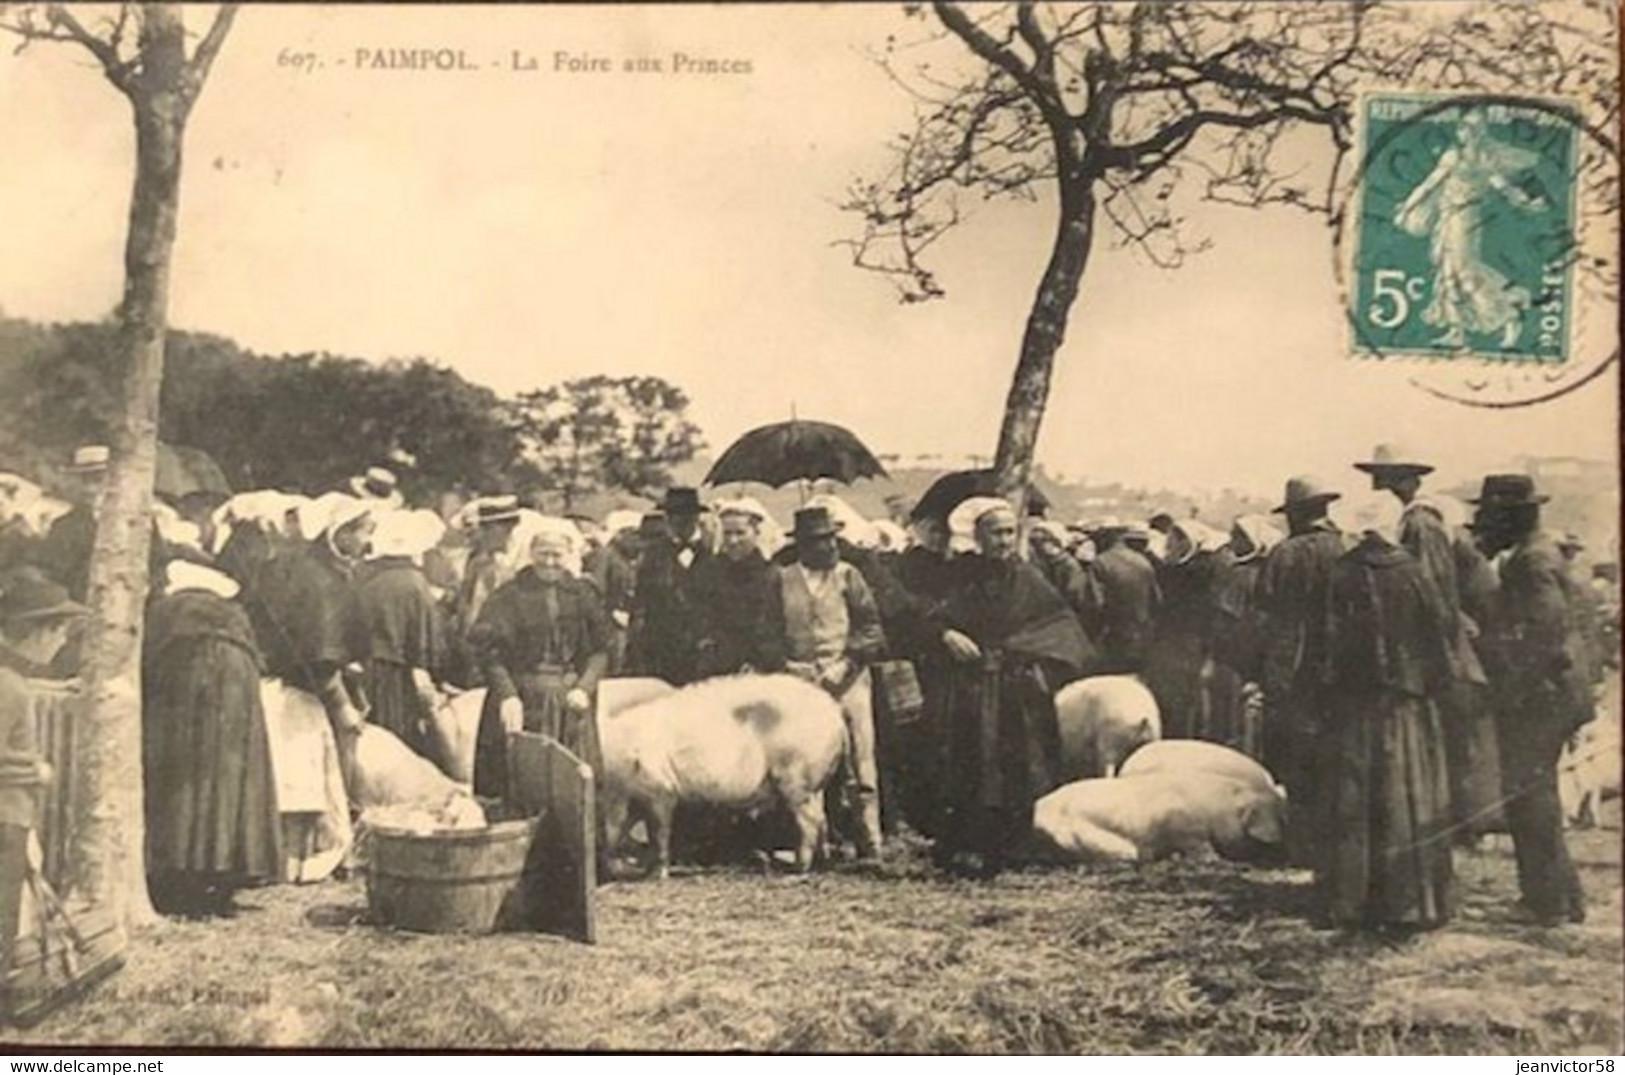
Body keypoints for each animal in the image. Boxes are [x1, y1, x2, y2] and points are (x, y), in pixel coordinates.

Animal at [601, 678, 851, 883]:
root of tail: (835, 714)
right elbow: (622, 831)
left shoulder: (661, 789)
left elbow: (657, 833)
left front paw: (654, 876)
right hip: (815, 783)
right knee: (822, 818)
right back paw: (821, 864)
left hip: (797, 778)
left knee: (809, 821)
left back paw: (797, 869)